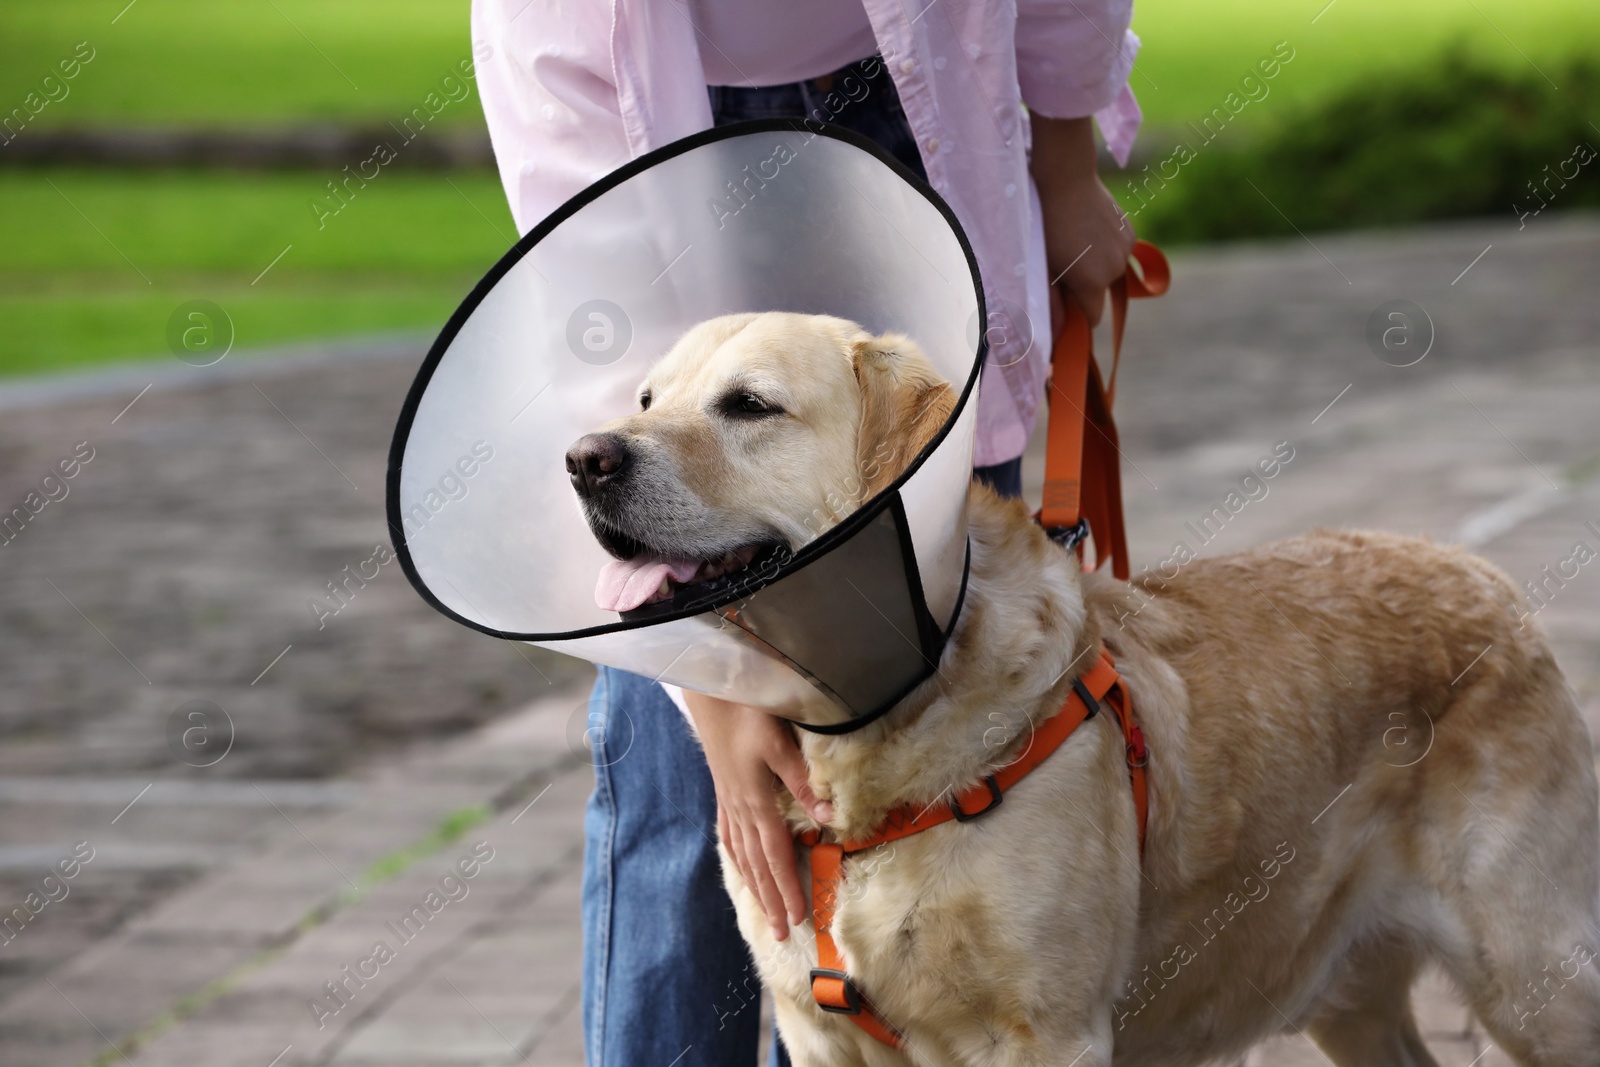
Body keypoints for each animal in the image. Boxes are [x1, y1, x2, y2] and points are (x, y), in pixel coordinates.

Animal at [563, 310, 1600, 1067]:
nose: (584, 458)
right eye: (648, 395)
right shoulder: (818, 1034)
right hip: (1347, 989)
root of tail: (1480, 569)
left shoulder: (1046, 1031)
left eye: (749, 405)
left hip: (1530, 972)